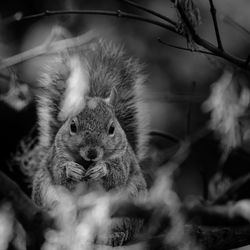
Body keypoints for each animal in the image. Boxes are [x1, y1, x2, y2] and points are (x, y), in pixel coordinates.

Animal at [31, 37, 148, 246]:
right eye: (72, 126)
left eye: (112, 128)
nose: (92, 153)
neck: (85, 161)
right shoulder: (56, 155)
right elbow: (59, 173)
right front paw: (71, 169)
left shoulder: (123, 159)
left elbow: (117, 176)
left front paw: (102, 169)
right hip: (49, 199)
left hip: (127, 207)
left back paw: (115, 236)